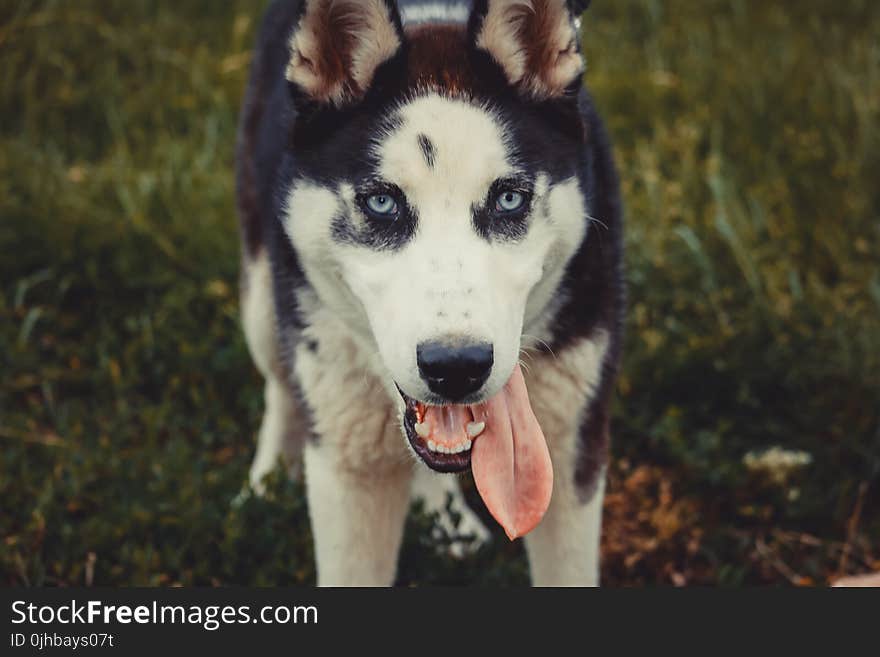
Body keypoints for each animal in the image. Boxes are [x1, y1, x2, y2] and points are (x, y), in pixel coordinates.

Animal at [235, 0, 624, 584]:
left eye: (509, 199)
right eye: (381, 203)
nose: (457, 366)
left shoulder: (572, 443)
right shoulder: (348, 473)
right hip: (263, 295)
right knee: (280, 382)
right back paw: (268, 476)